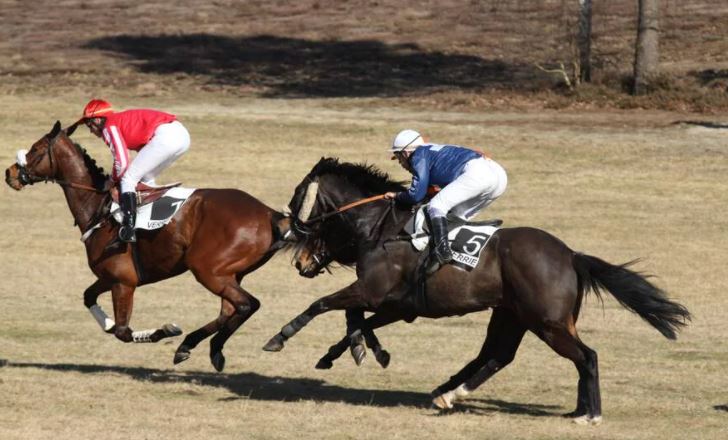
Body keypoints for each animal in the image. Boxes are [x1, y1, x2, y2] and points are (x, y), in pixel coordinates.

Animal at [5, 121, 292, 372]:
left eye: (35, 149)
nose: (9, 173)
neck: (99, 208)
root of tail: (269, 213)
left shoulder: (123, 281)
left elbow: (122, 332)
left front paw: (163, 330)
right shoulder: (109, 277)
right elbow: (90, 300)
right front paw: (112, 324)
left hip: (207, 270)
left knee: (246, 305)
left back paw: (209, 346)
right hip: (230, 273)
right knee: (230, 310)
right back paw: (198, 347)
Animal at [264, 158, 692, 422]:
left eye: (300, 199)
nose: (300, 261)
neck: (382, 227)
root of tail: (571, 255)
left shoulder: (374, 293)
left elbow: (323, 305)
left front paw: (280, 337)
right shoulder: (396, 304)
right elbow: (356, 320)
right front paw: (353, 352)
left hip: (547, 322)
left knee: (586, 356)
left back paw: (589, 414)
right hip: (514, 316)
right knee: (498, 356)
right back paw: (451, 393)